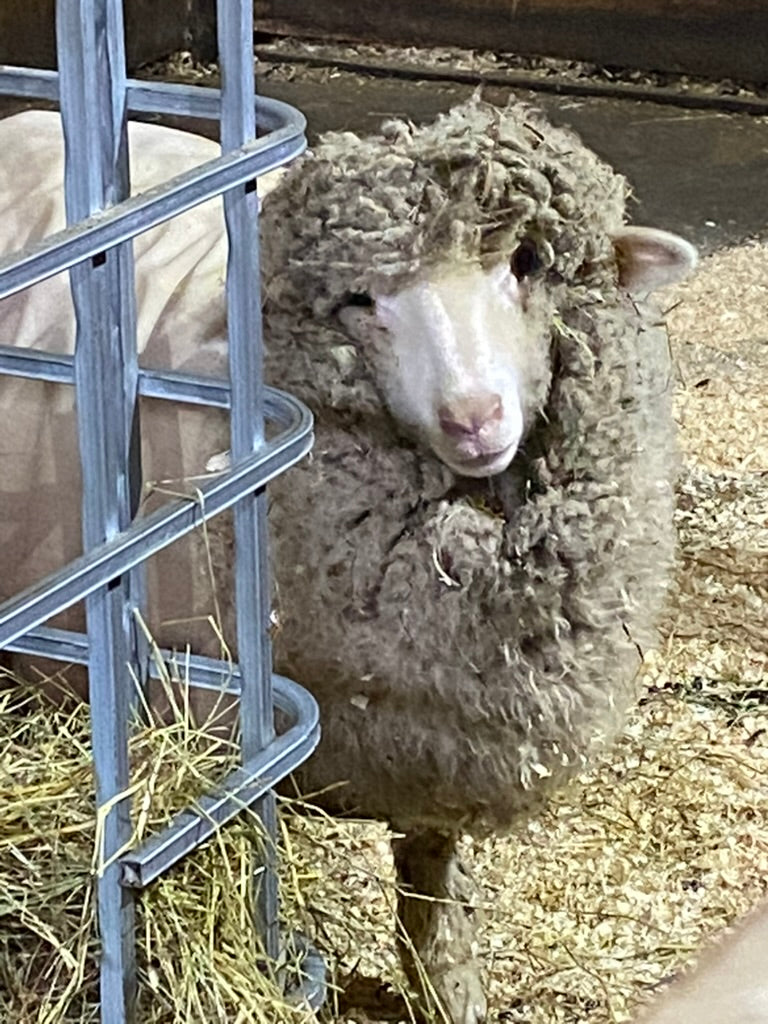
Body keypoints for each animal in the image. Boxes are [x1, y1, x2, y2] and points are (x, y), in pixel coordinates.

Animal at [0, 99, 697, 1023]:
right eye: (361, 301)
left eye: (525, 263)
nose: (474, 418)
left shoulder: (436, 745)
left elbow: (433, 889)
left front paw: (449, 988)